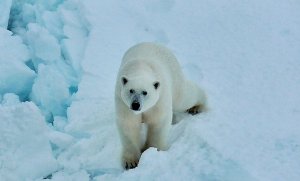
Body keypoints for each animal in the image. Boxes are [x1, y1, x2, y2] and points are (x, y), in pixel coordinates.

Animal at [114, 42, 206, 170]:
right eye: (131, 90)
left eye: (145, 92)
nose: (135, 105)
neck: (140, 68)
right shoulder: (122, 102)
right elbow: (129, 125)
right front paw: (131, 162)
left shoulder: (159, 99)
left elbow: (158, 122)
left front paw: (152, 151)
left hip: (174, 77)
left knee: (184, 97)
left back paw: (197, 107)